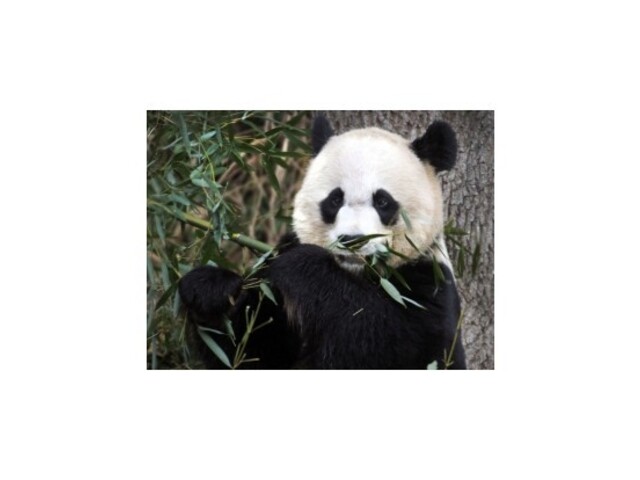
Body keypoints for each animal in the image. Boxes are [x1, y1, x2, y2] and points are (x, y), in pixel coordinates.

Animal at [178, 115, 466, 369]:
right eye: (335, 199)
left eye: (383, 201)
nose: (352, 241)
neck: (354, 274)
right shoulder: (277, 297)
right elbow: (246, 351)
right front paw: (210, 289)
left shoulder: (428, 282)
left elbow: (392, 344)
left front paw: (303, 264)